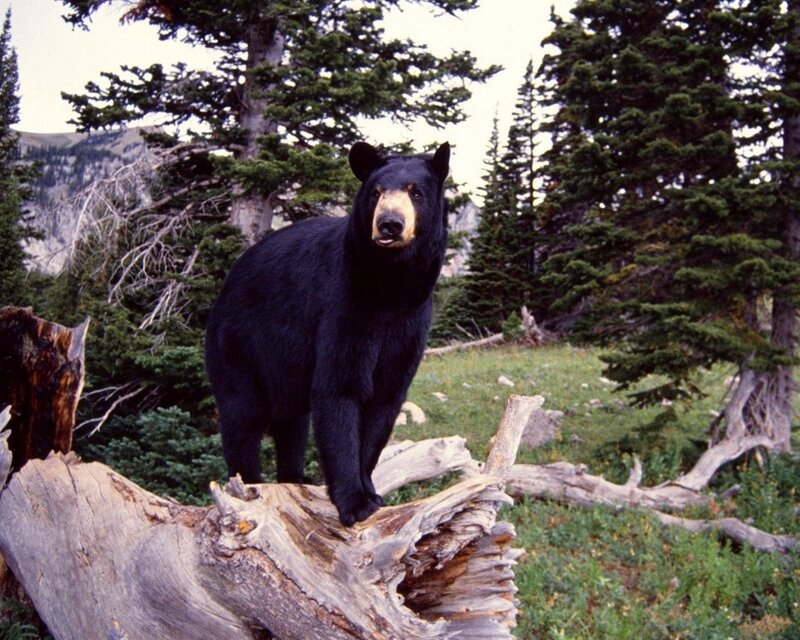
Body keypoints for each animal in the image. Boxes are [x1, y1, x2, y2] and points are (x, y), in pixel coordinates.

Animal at [205, 141, 450, 526]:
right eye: (376, 192)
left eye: (416, 192)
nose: (390, 224)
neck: (389, 290)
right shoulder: (344, 306)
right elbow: (340, 389)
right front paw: (354, 501)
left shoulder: (411, 323)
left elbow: (385, 399)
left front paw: (370, 490)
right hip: (238, 348)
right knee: (242, 418)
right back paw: (250, 485)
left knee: (291, 422)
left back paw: (294, 479)